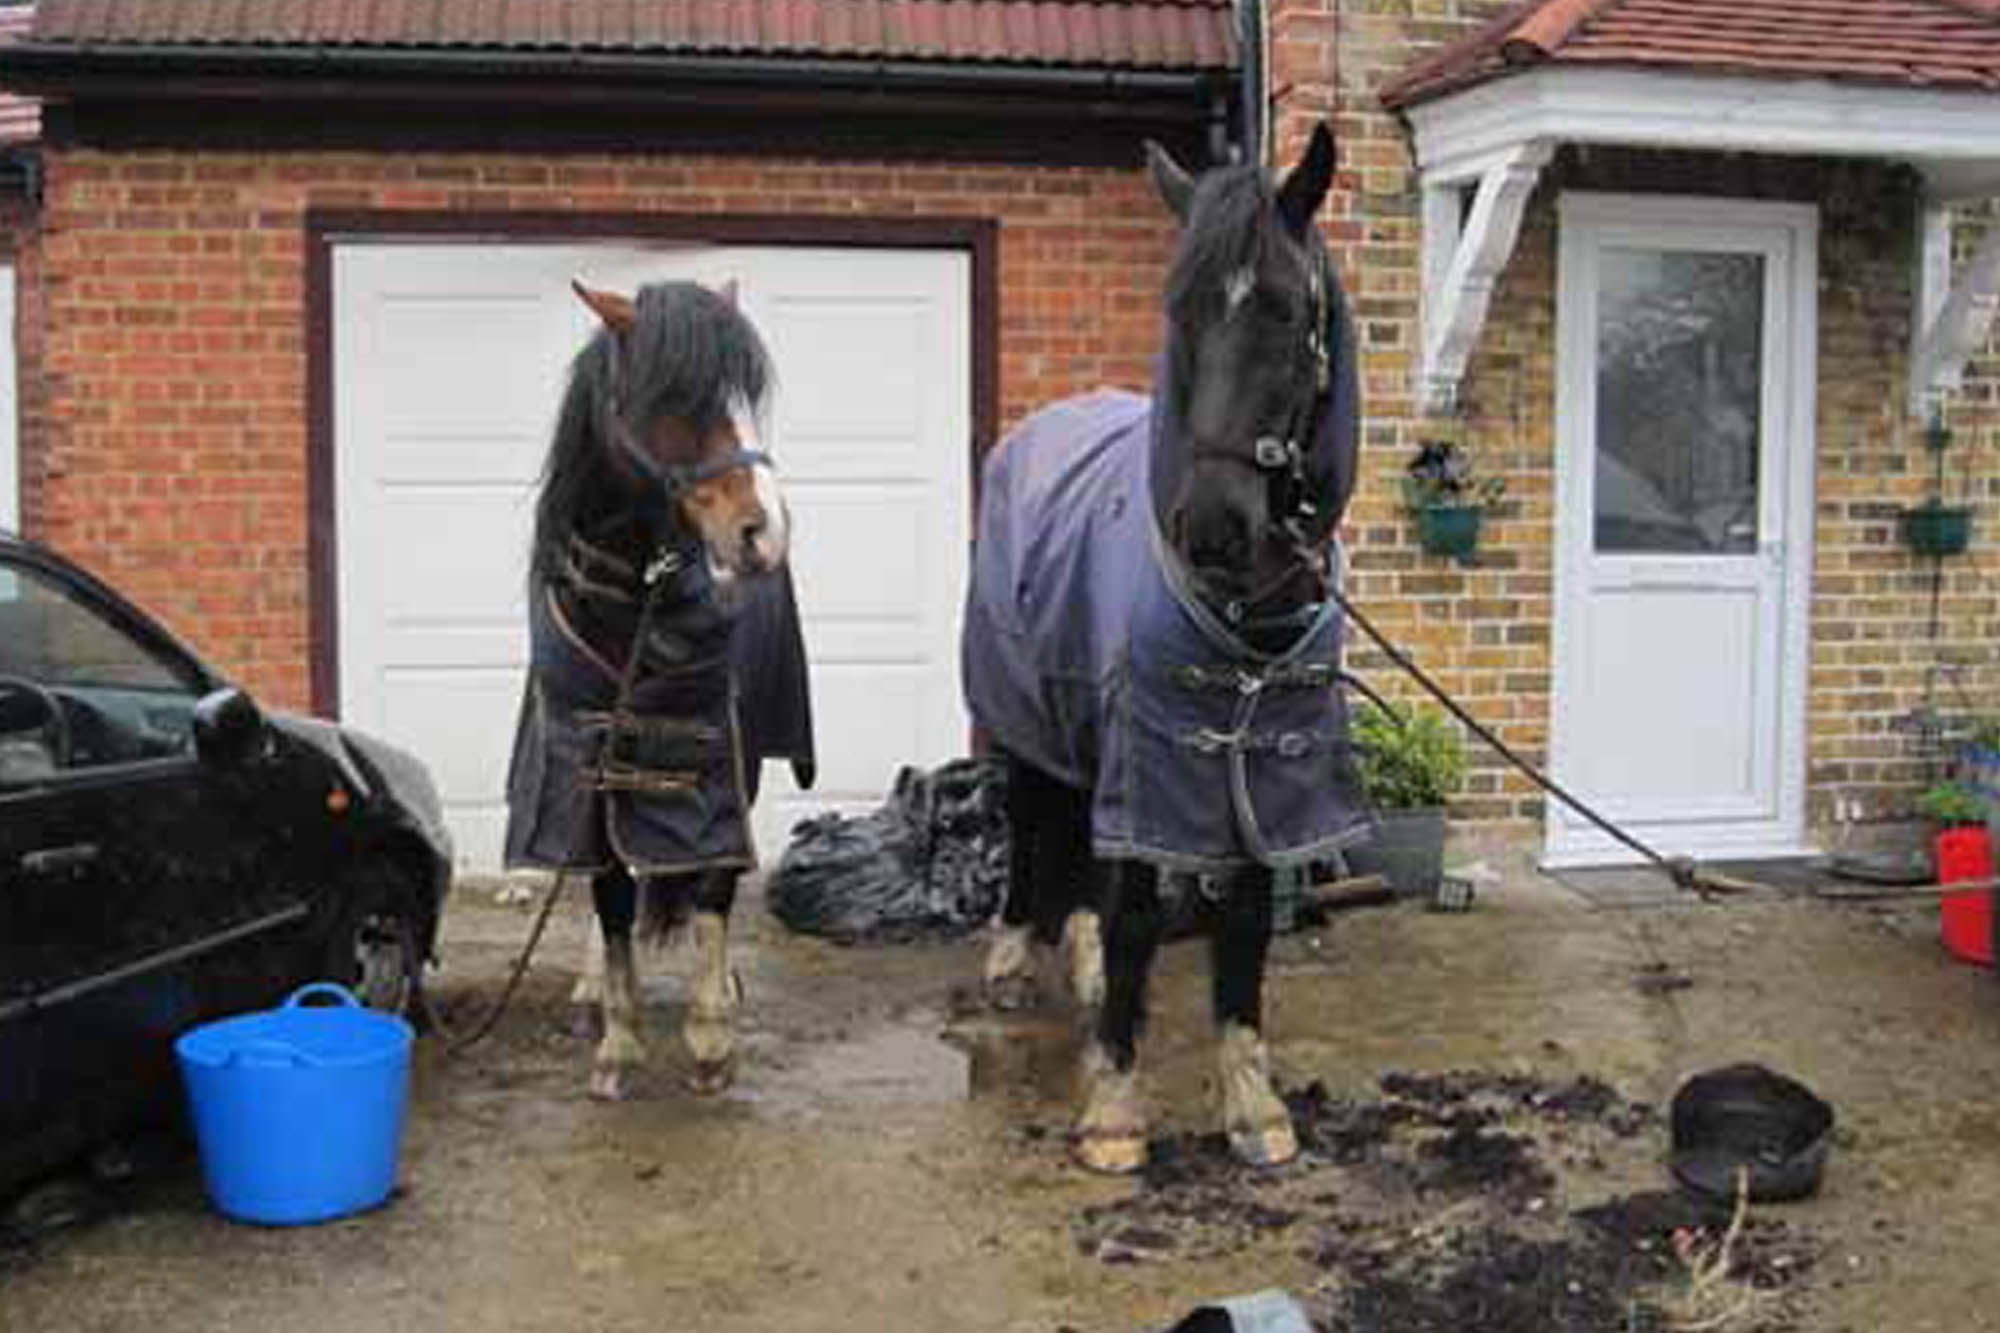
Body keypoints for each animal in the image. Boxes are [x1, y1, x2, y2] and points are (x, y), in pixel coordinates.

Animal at [508, 274, 812, 1096]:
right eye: (678, 394)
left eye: (747, 394)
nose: (765, 531)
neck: (632, 606)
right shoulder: (590, 759)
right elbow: (609, 893)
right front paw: (618, 1040)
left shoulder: (719, 756)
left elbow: (712, 885)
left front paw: (711, 1038)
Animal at [960, 122, 1368, 1160]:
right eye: (1178, 308)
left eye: (1282, 310)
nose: (1213, 525)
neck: (1245, 621)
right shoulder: (1151, 745)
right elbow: (1141, 905)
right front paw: (1115, 1104)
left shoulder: (1264, 770)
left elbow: (1248, 917)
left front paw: (1252, 1102)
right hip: (1025, 714)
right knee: (1033, 825)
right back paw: (1015, 957)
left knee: (1077, 840)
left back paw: (1088, 967)